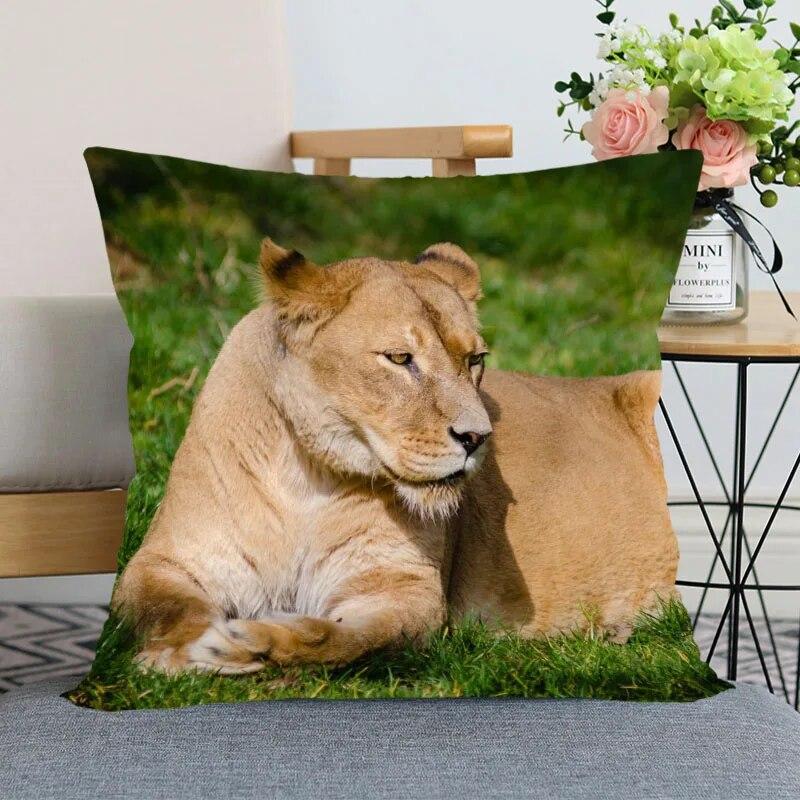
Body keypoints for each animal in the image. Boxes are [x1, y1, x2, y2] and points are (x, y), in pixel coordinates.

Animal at [113, 239, 677, 674]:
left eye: (475, 359)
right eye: (401, 358)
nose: (479, 436)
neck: (304, 476)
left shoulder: (404, 587)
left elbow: (344, 639)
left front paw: (254, 643)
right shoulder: (166, 559)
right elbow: (164, 607)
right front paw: (178, 651)